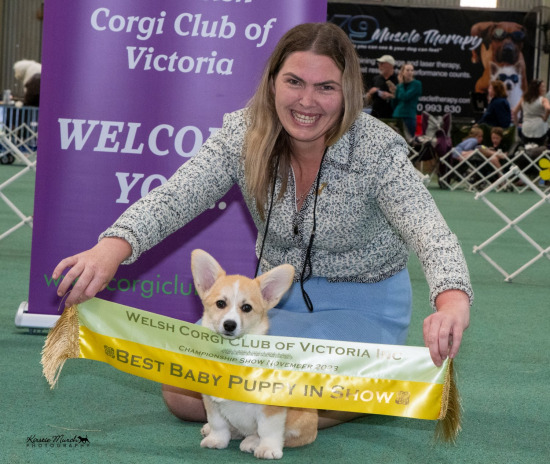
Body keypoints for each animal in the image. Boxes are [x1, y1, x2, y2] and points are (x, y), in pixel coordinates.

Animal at [192, 248, 320, 458]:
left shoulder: (270, 407)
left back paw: (252, 442)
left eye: (246, 308)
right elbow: (218, 424)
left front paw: (267, 449)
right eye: (220, 304)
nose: (229, 325)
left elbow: (268, 430)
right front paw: (216, 439)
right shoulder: (211, 402)